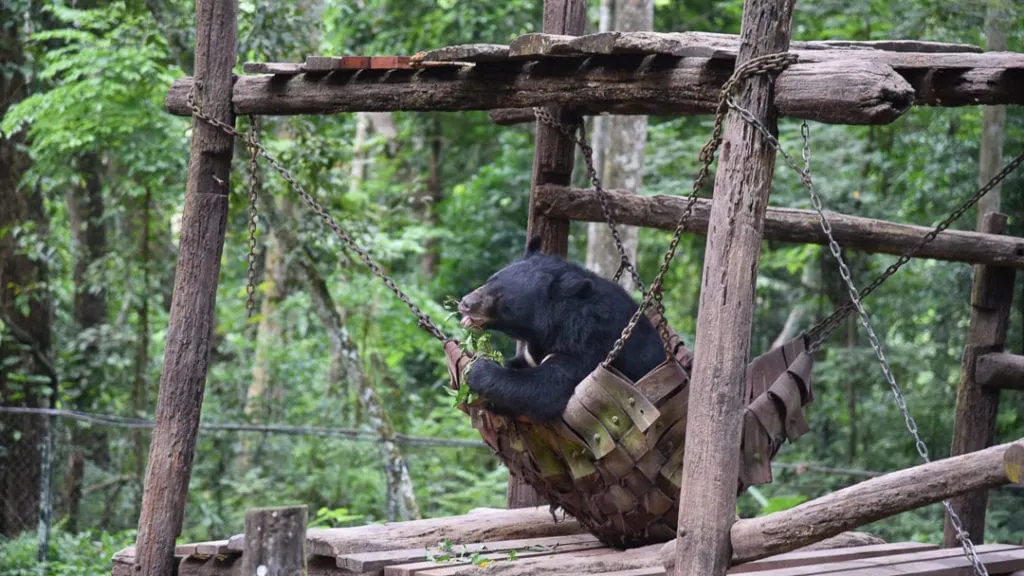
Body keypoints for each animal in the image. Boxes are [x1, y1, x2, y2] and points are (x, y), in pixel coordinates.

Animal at [456, 234, 663, 422]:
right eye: (490, 280)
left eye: (502, 299)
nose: (465, 303)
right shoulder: (533, 350)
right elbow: (521, 362)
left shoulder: (590, 343)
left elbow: (547, 388)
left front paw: (477, 369)